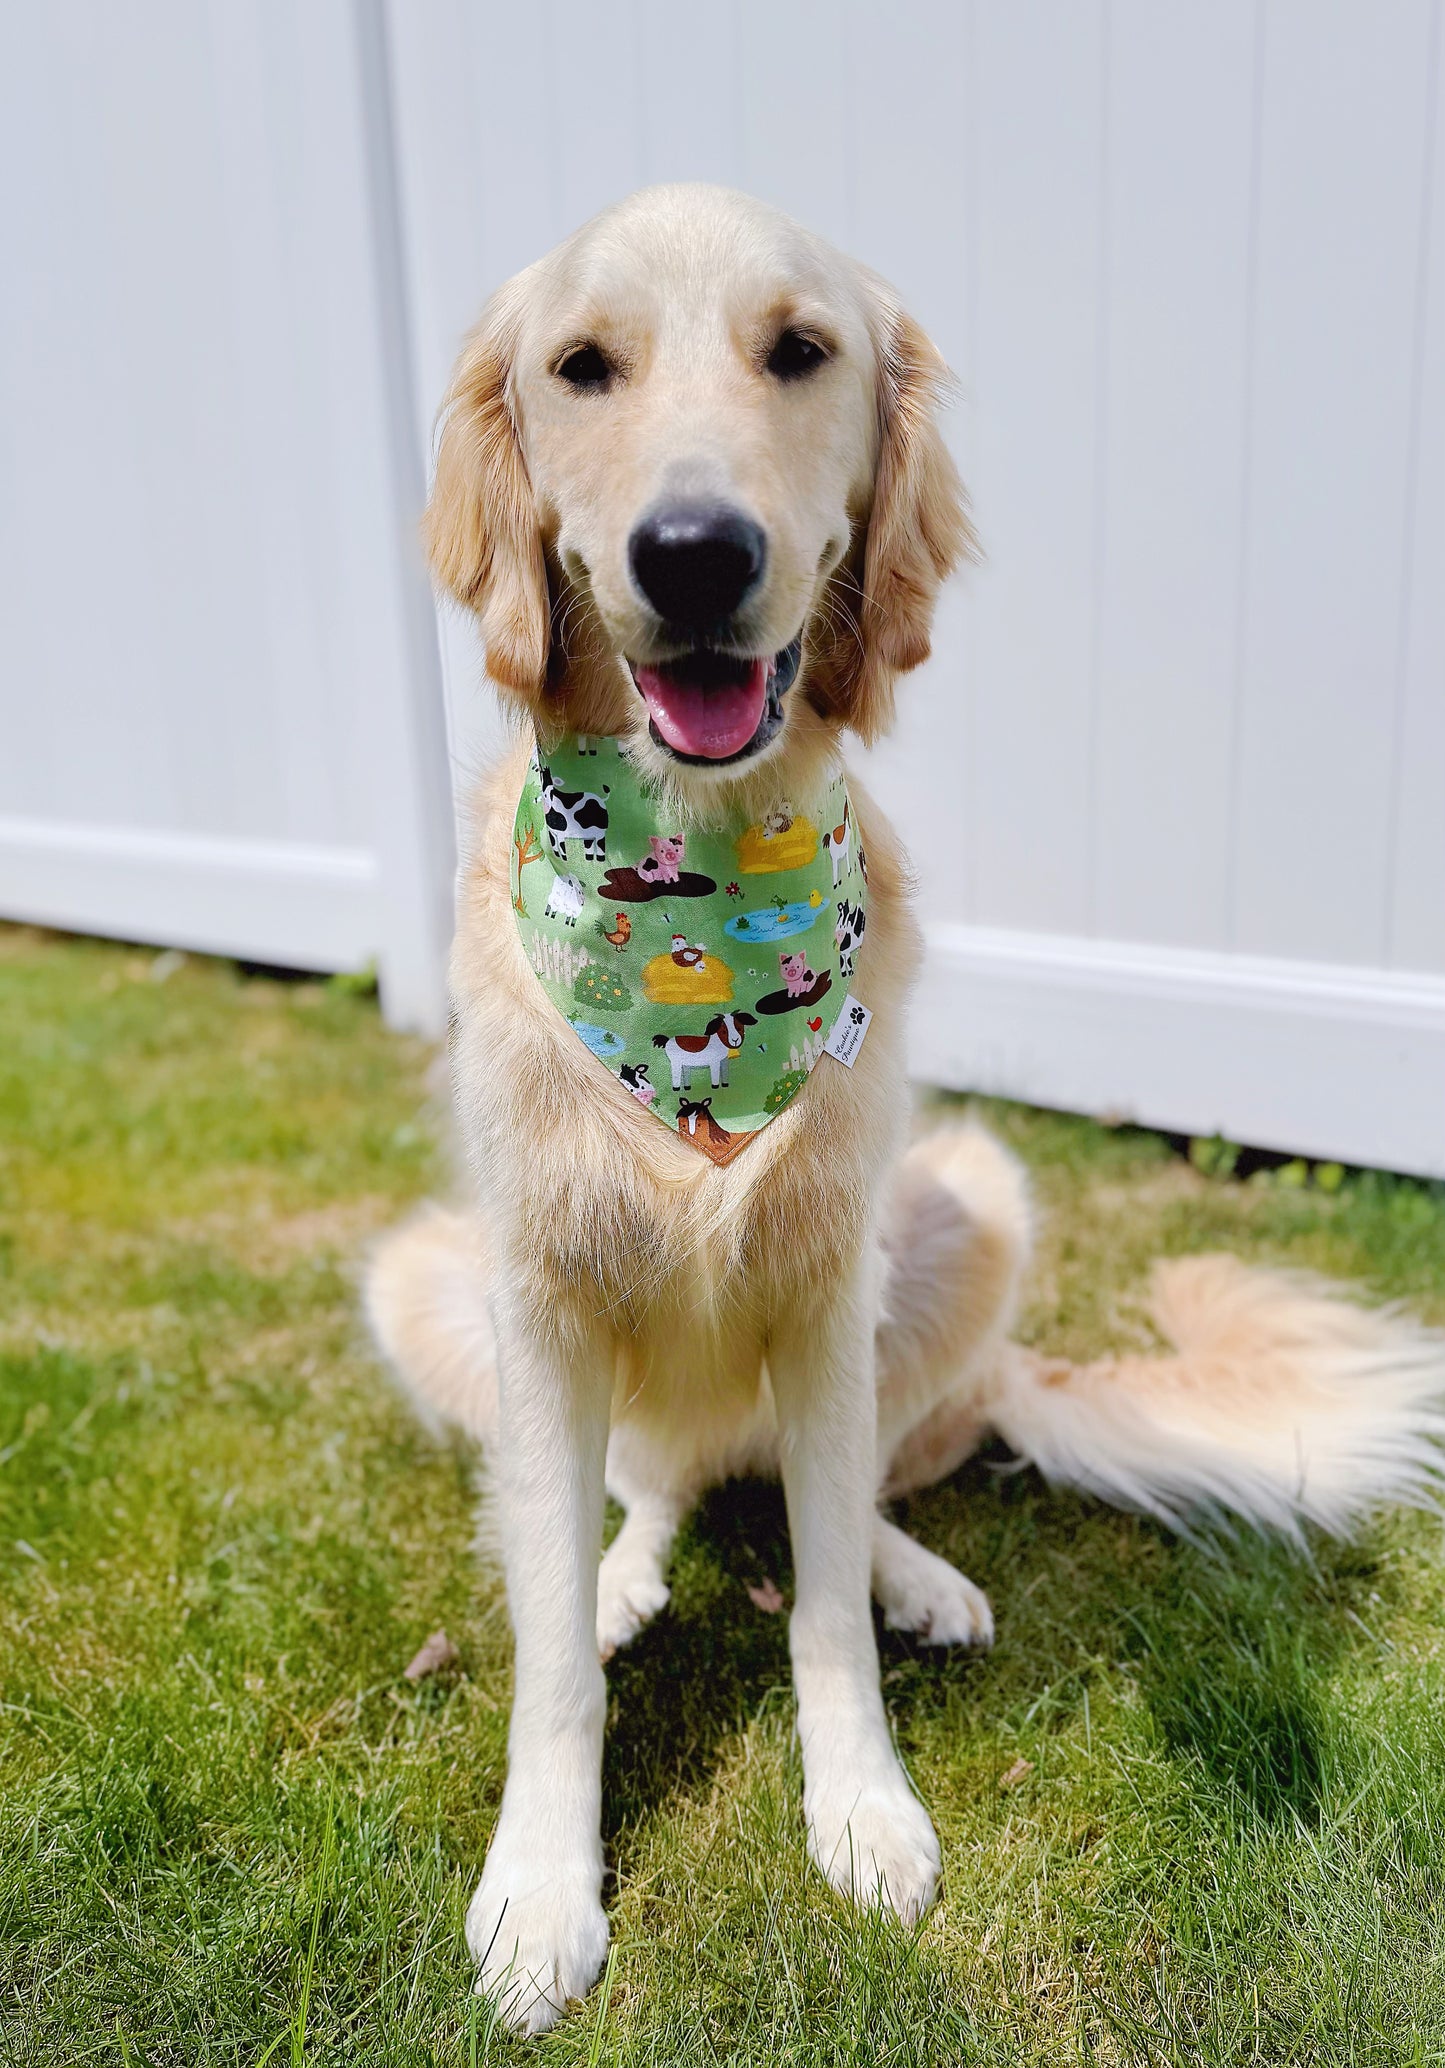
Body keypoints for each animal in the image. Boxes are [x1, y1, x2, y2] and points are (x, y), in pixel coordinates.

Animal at [372, 186, 1445, 2026]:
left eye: (799, 350)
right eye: (582, 367)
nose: (694, 554)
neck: (688, 879)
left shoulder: (824, 1289)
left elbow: (820, 1611)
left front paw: (861, 1807)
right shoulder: (534, 1285)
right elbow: (551, 1663)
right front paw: (539, 1884)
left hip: (969, 1208)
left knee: (847, 1491)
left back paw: (909, 1569)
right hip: (429, 1282)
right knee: (642, 1494)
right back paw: (622, 1571)